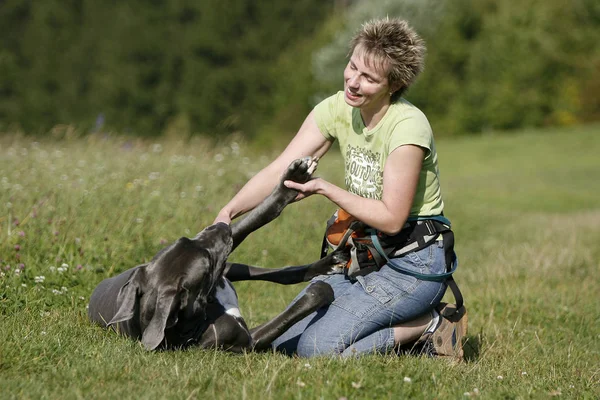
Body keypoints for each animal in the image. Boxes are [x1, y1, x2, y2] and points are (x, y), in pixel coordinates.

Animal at [89, 158, 352, 352]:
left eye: (184, 239)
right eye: (205, 263)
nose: (218, 226)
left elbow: (260, 215)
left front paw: (291, 182)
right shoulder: (245, 341)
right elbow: (286, 317)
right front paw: (320, 291)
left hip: (229, 268)